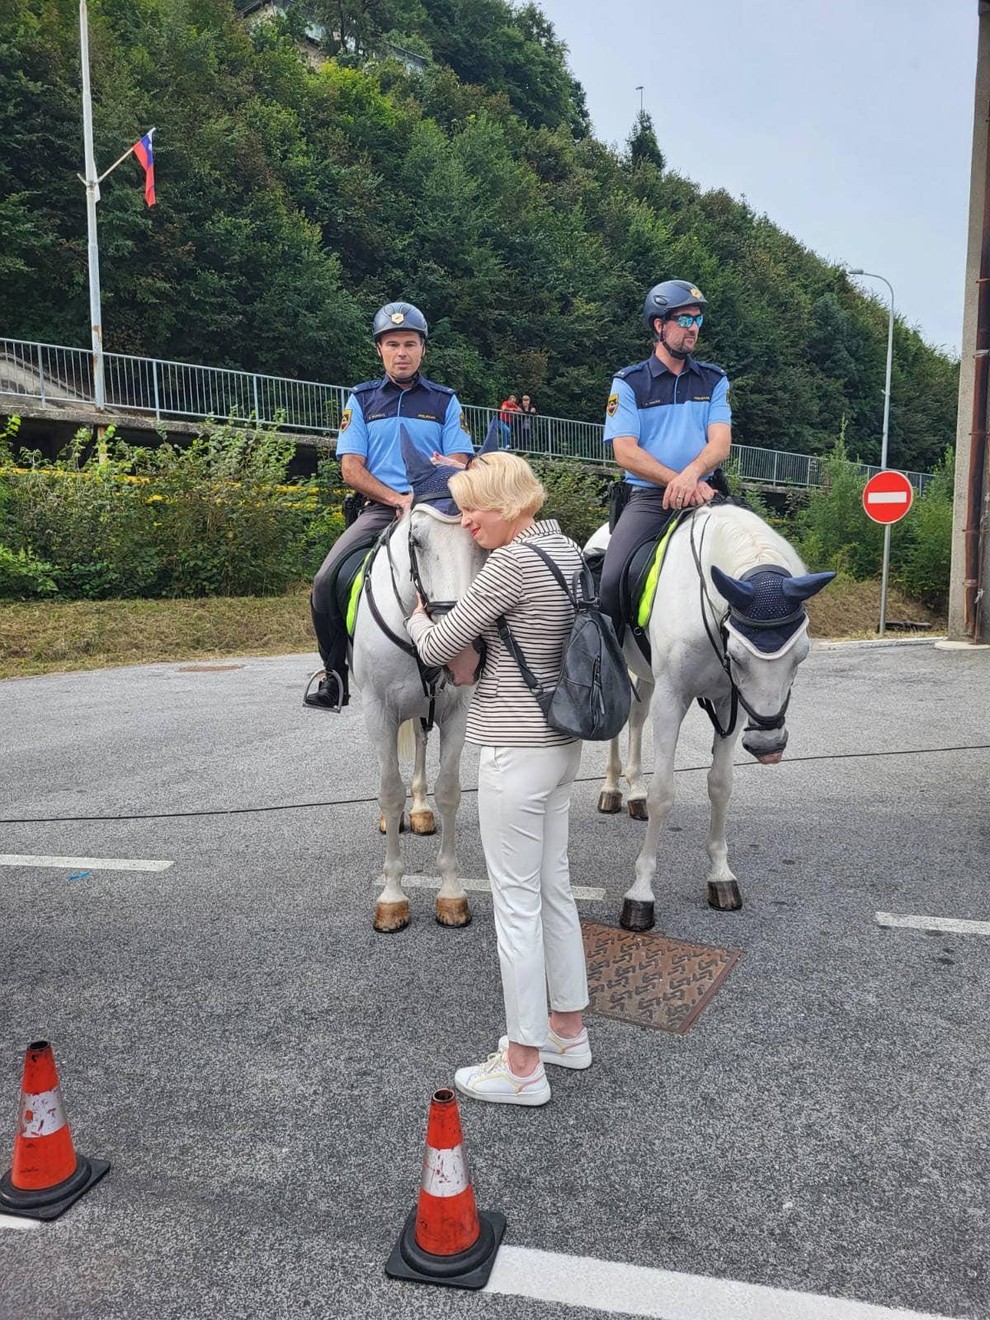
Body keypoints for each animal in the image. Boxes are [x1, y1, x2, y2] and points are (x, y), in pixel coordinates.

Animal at [353, 432, 488, 929]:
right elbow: (388, 790)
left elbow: (449, 790)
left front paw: (450, 892)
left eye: (481, 537)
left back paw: (421, 810)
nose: (461, 650)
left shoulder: (456, 711)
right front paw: (392, 897)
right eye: (416, 539)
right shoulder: (378, 709)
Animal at [588, 498, 839, 934]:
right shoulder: (673, 697)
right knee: (620, 724)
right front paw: (640, 893)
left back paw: (633, 791)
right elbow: (664, 794)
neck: (704, 604)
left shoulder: (729, 704)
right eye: (737, 655)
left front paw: (721, 877)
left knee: (636, 718)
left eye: (801, 655)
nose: (768, 744)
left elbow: (720, 786)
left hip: (648, 676)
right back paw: (612, 790)